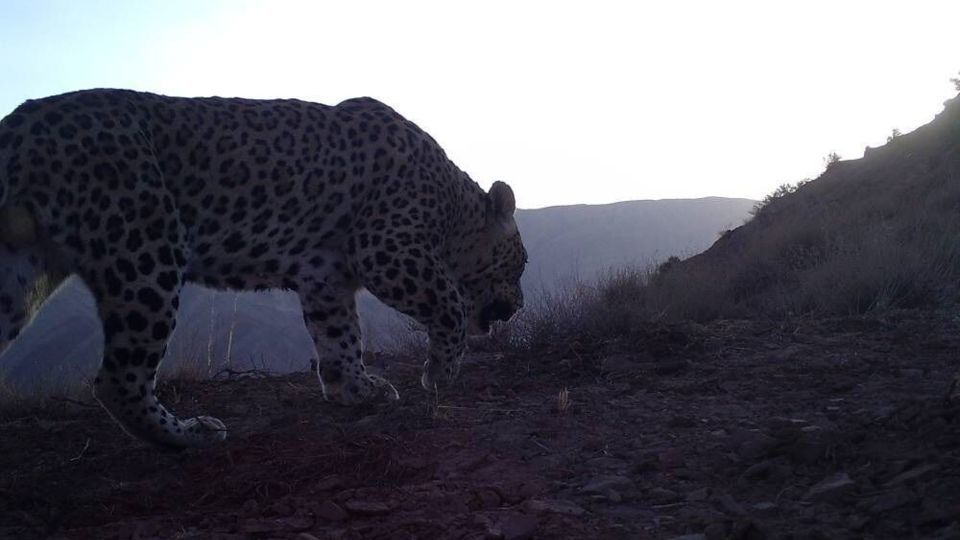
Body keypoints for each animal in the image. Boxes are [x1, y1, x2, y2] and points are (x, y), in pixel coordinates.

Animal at [0, 90, 524, 450]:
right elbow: (451, 304)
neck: (451, 205)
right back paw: (189, 434)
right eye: (520, 266)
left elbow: (341, 338)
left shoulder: (326, 276)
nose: (519, 307)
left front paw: (356, 390)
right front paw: (439, 373)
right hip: (145, 252)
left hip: (22, 270)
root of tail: (23, 121)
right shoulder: (386, 249)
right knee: (118, 380)